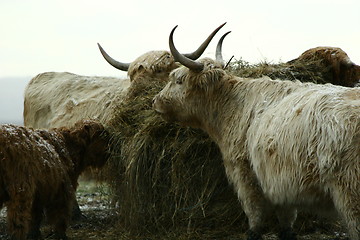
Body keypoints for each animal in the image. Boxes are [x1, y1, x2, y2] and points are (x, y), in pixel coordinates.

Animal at [153, 25, 360, 239]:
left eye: (178, 80)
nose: (155, 101)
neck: (232, 105)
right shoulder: (281, 186)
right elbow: (286, 223)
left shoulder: (245, 173)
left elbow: (255, 216)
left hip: (349, 193)